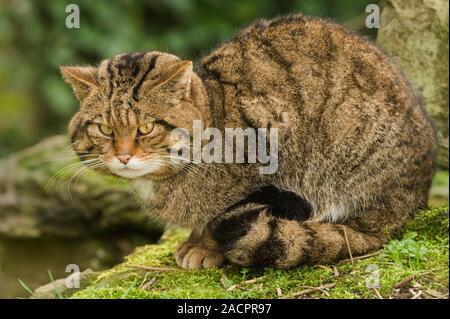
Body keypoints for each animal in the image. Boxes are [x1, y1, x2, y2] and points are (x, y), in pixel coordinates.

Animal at [60, 15, 436, 270]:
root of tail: (411, 201)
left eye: (146, 128)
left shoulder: (271, 137)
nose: (123, 157)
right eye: (105, 129)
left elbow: (221, 216)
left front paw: (204, 247)